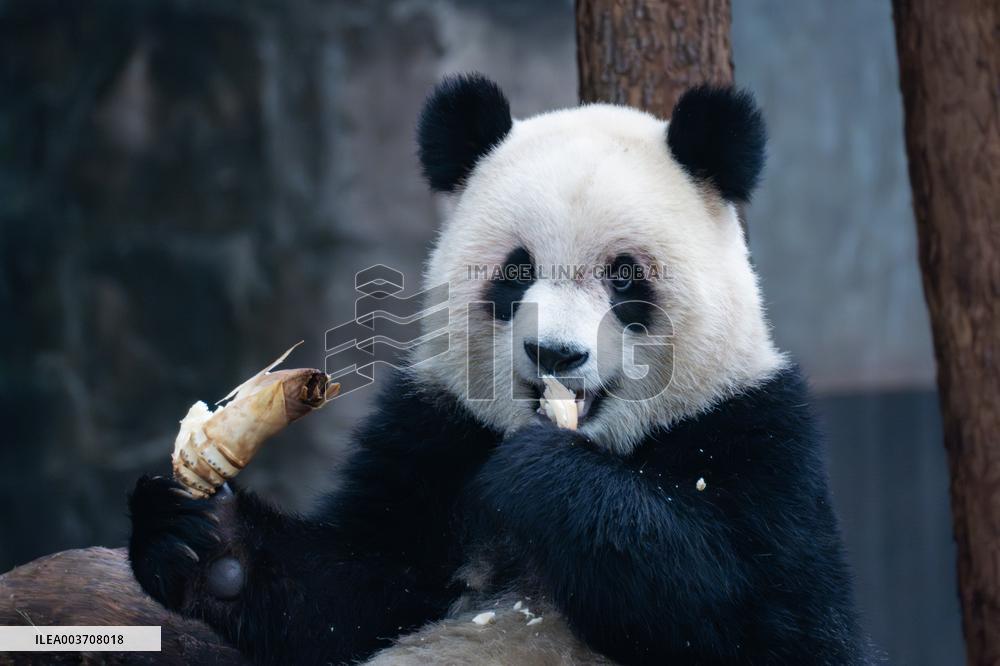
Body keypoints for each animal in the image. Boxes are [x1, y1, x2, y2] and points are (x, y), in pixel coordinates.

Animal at [128, 73, 869, 665]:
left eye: (625, 277)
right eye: (516, 272)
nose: (556, 354)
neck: (606, 444)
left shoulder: (755, 436)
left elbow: (775, 622)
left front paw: (542, 478)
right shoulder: (433, 431)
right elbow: (350, 590)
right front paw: (198, 537)